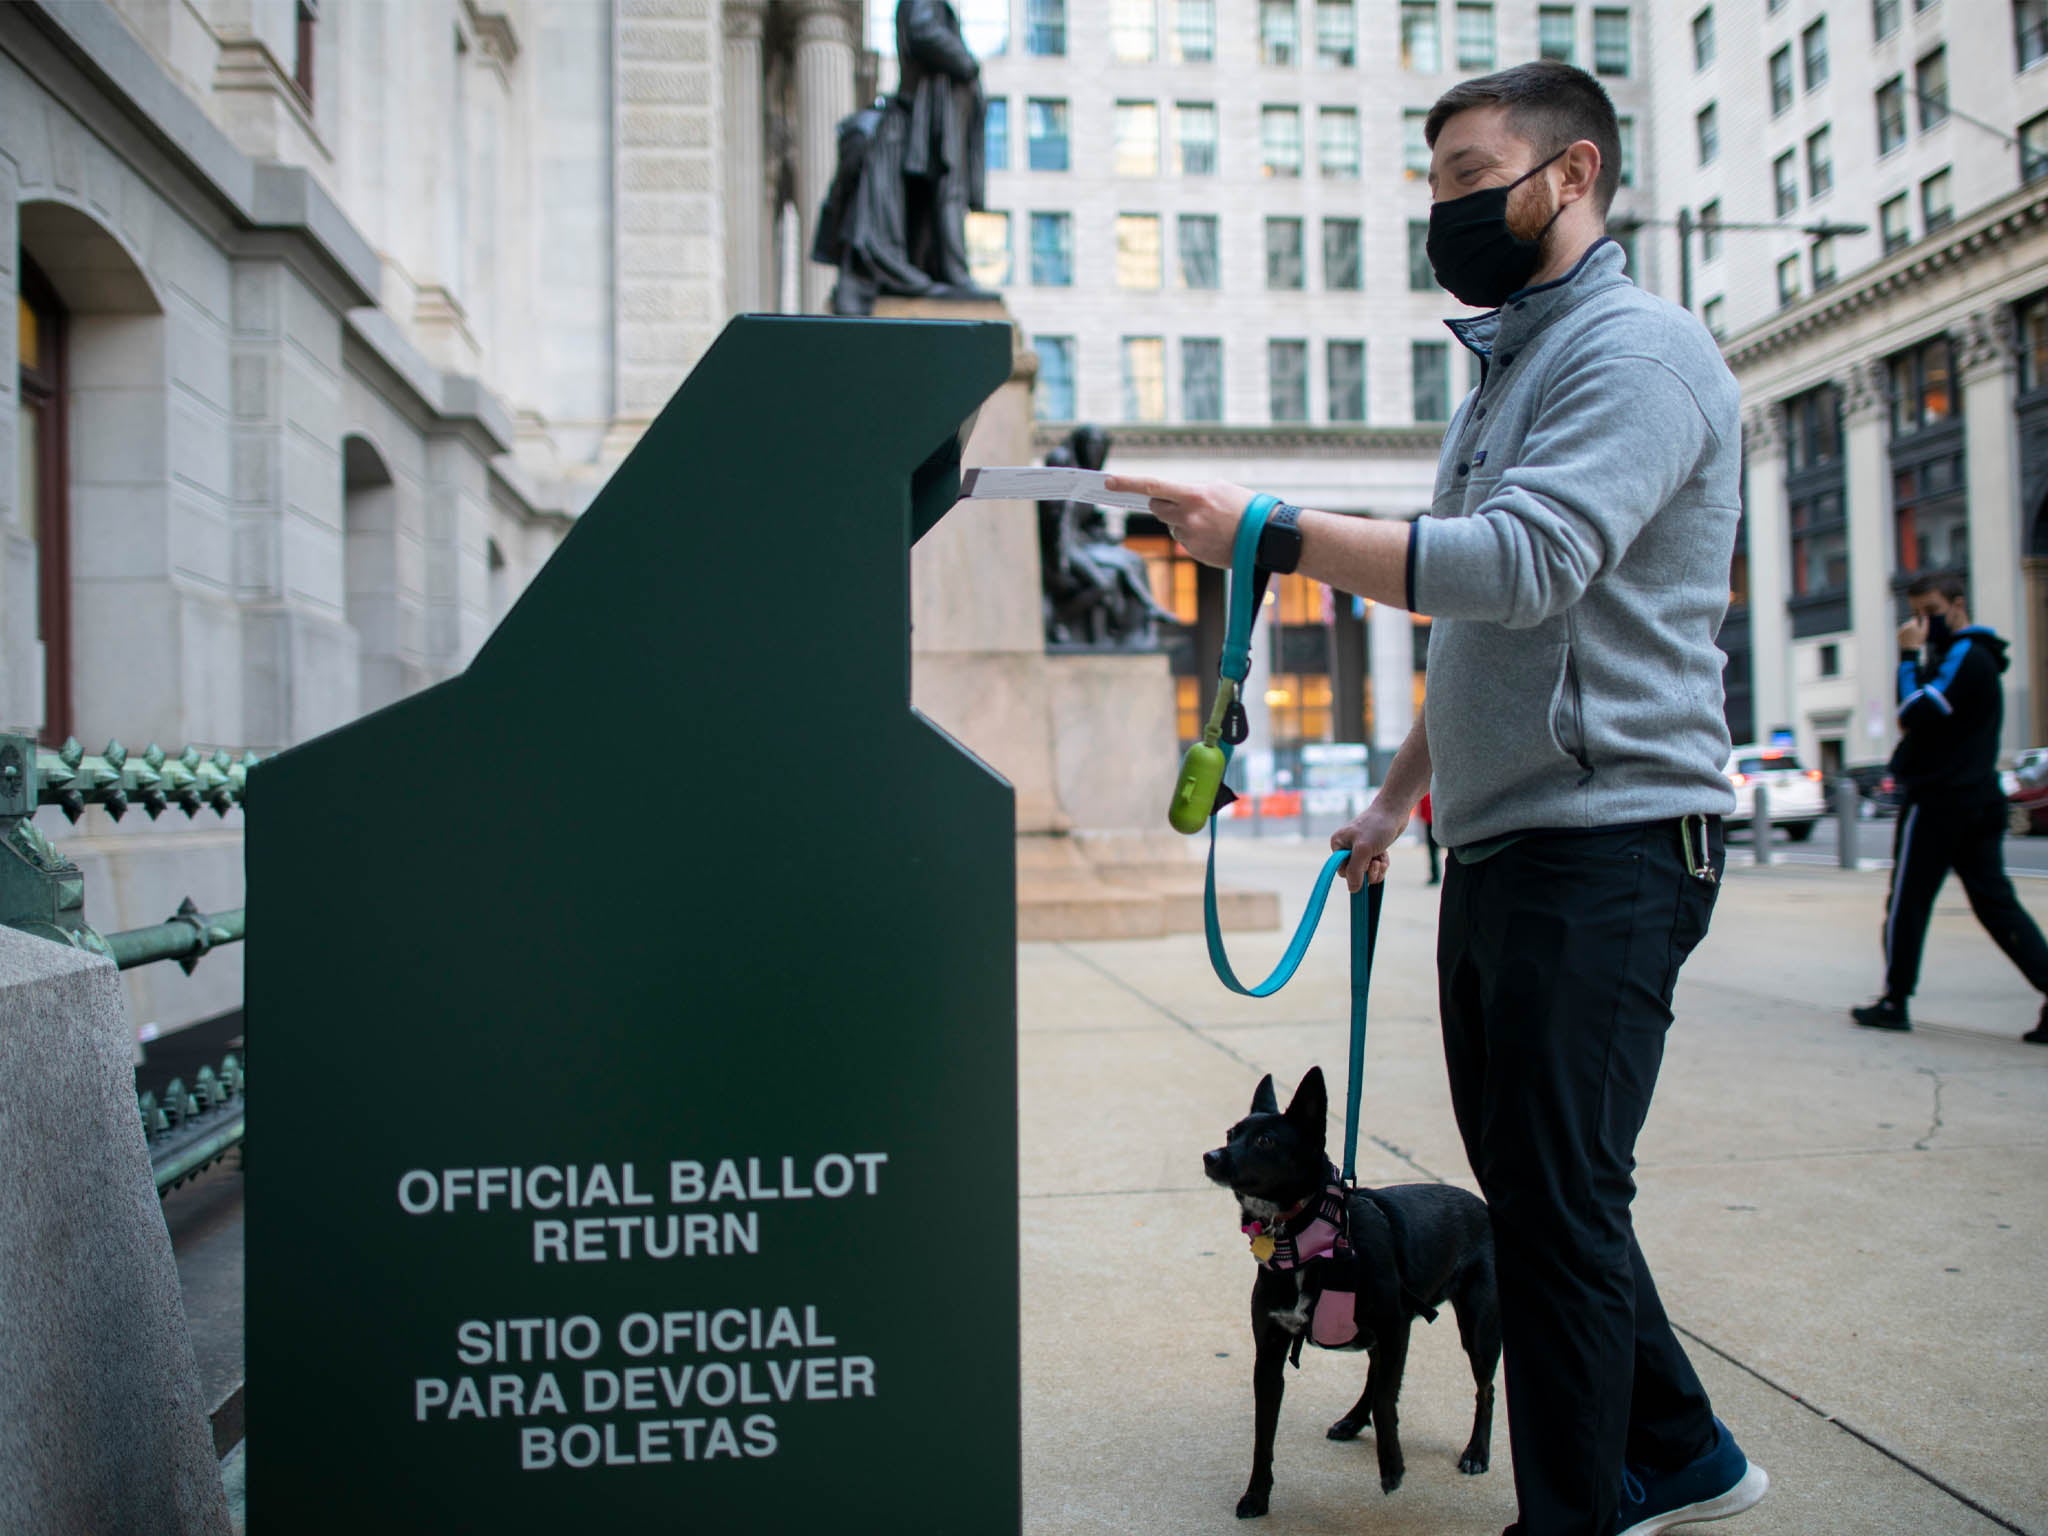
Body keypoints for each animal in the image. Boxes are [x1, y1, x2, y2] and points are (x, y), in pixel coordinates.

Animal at [1196, 1073, 1507, 1515]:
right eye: (1230, 1134)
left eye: (1266, 1141)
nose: (1210, 1156)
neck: (1306, 1235)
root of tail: (1479, 1202)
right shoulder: (1270, 1354)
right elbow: (1263, 1433)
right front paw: (1257, 1494)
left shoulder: (1395, 1328)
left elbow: (1386, 1398)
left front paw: (1392, 1467)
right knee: (1377, 1373)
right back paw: (1354, 1420)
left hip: (1478, 1327)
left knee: (1485, 1388)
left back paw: (1476, 1452)